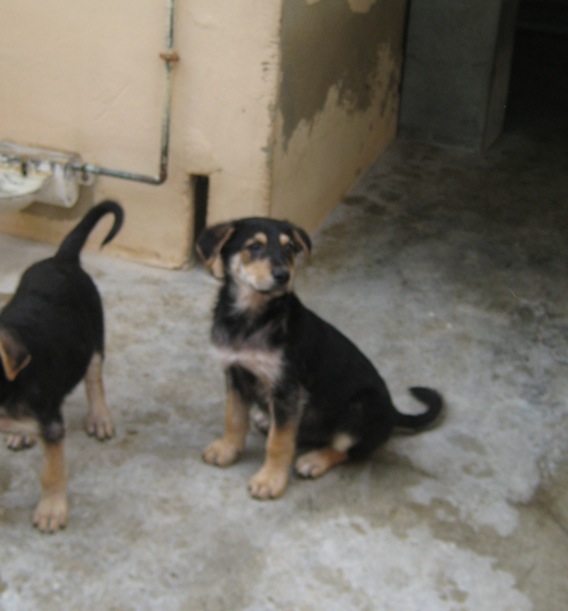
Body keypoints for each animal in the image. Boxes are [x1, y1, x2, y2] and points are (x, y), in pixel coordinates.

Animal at [0, 200, 123, 532]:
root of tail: (62, 259)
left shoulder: (53, 426)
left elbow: (52, 473)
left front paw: (51, 511)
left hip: (94, 337)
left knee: (95, 381)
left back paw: (100, 418)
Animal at [196, 220, 444, 502]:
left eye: (290, 248)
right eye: (254, 246)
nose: (283, 275)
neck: (253, 317)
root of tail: (393, 413)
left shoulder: (287, 388)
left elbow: (279, 442)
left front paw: (270, 479)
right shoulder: (235, 373)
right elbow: (234, 418)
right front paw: (227, 449)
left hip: (360, 408)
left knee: (348, 449)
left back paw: (314, 460)